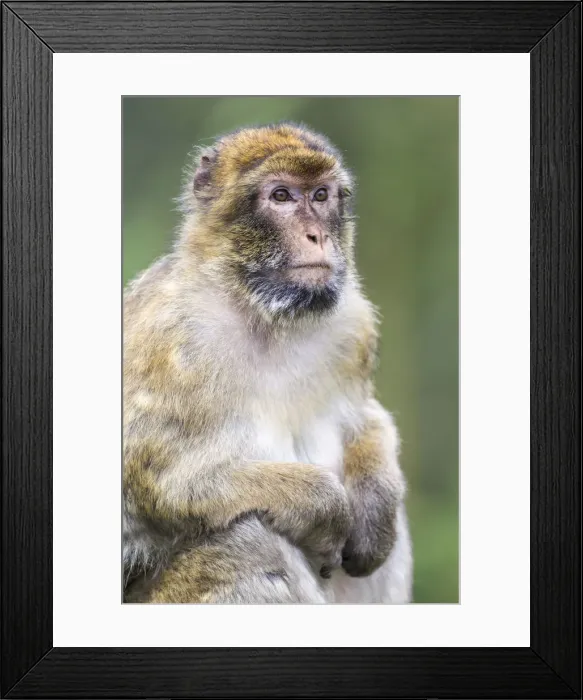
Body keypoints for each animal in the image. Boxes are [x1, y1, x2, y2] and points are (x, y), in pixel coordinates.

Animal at [123, 122, 412, 603]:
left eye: (320, 195)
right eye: (281, 196)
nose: (317, 236)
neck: (266, 314)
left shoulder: (353, 326)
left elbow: (366, 418)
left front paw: (375, 510)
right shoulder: (169, 339)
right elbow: (158, 486)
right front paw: (321, 502)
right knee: (244, 542)